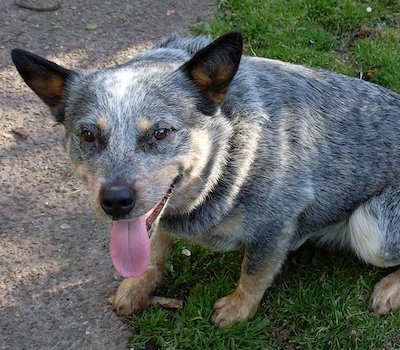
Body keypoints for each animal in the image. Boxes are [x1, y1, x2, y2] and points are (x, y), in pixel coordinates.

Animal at [10, 31, 400, 326]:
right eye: (88, 135)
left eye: (161, 132)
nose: (116, 200)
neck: (227, 158)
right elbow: (153, 251)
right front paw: (136, 287)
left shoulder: (276, 225)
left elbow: (253, 273)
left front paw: (237, 310)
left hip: (371, 229)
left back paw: (388, 289)